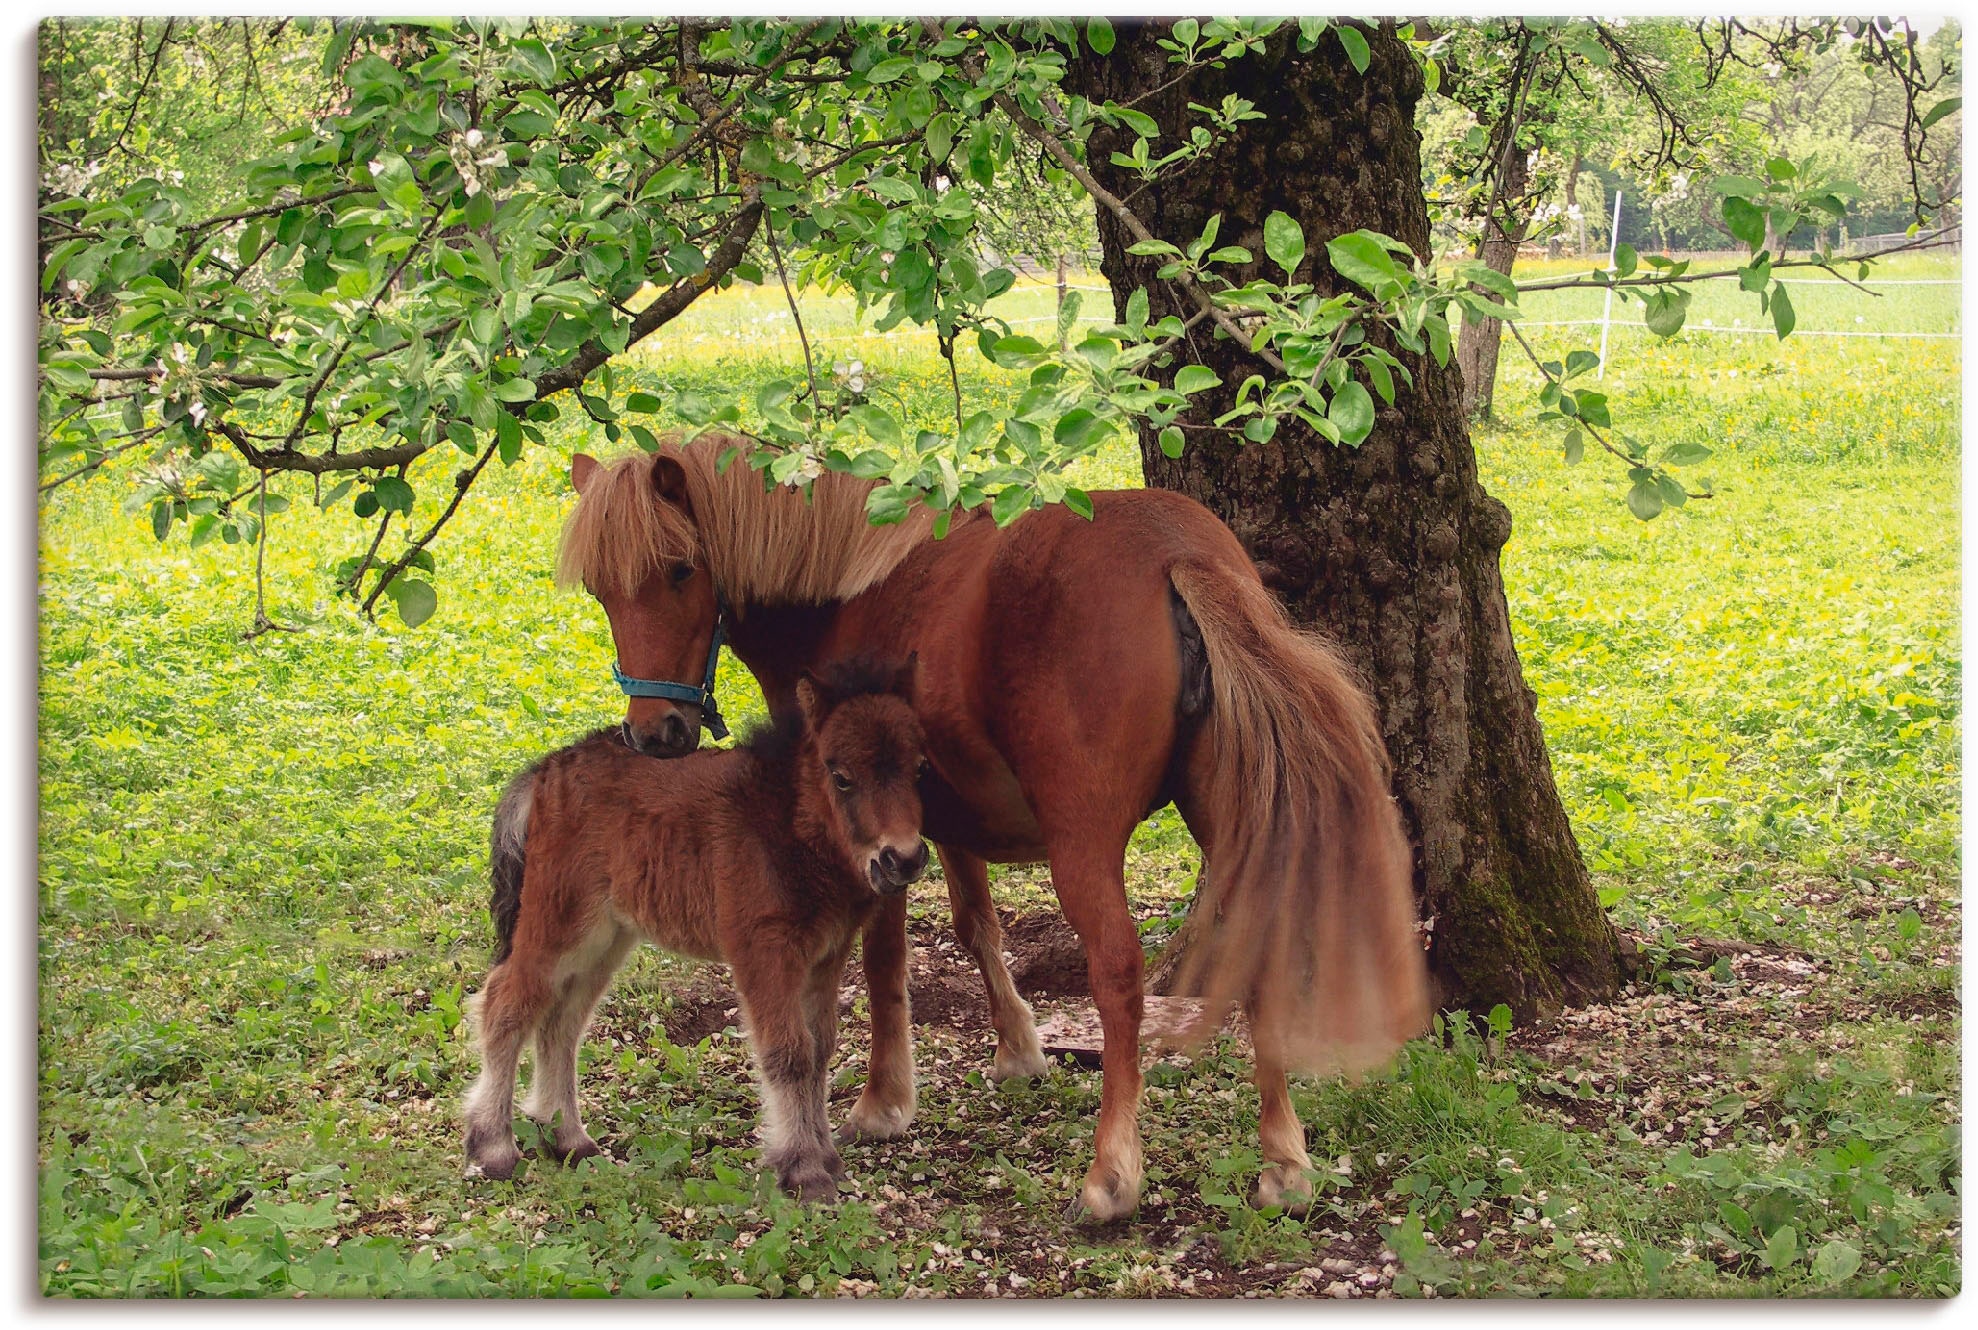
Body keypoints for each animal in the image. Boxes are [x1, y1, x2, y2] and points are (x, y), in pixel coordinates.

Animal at [462, 657, 929, 1199]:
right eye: (842, 777)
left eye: (919, 768)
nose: (903, 859)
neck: (784, 820)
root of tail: (545, 771)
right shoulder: (762, 950)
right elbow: (789, 1052)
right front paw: (803, 1171)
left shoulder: (825, 957)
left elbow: (819, 1051)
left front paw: (827, 1161)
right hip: (559, 923)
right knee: (507, 1003)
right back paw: (493, 1147)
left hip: (606, 938)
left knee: (562, 1020)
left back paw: (568, 1139)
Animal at [557, 437, 1430, 1222]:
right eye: (598, 589)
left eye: (679, 570)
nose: (656, 733)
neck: (844, 590)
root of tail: (1176, 554)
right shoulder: (944, 823)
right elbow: (976, 924)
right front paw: (1018, 1047)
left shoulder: (873, 838)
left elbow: (883, 961)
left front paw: (883, 1100)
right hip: (1229, 819)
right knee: (1257, 947)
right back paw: (1284, 1162)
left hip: (1085, 846)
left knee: (1117, 977)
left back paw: (1112, 1175)